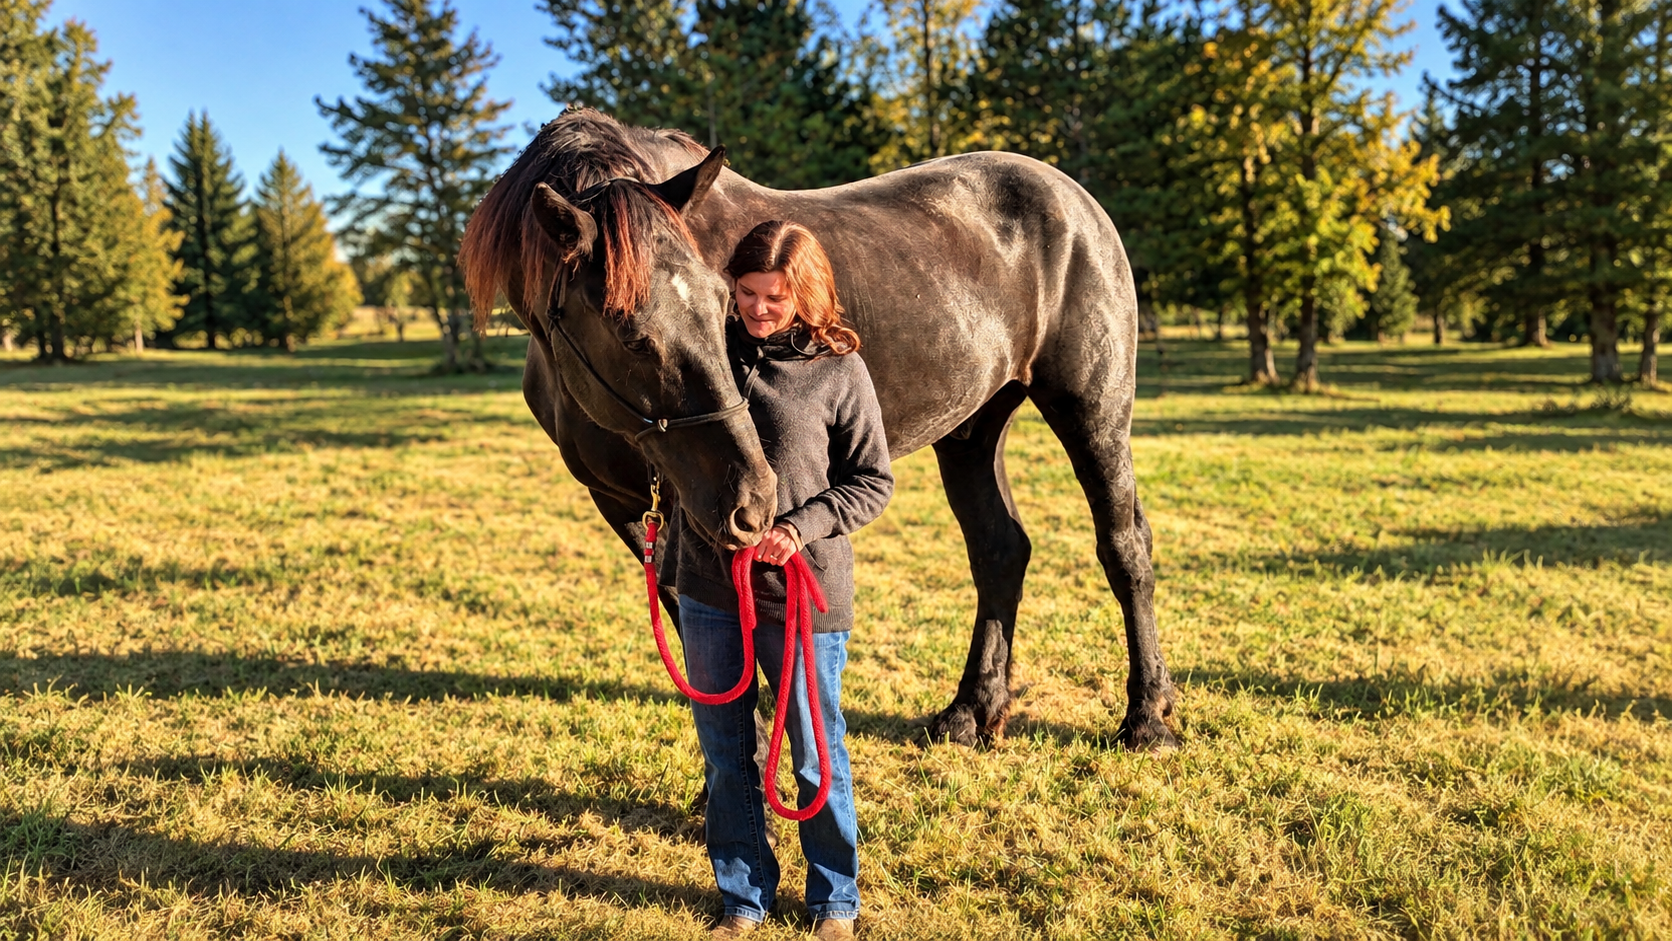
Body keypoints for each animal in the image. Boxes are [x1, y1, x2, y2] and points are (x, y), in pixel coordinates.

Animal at [460, 108, 1178, 749]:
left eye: (723, 303)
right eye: (628, 332)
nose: (753, 498)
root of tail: (1075, 200)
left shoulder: (711, 501)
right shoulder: (628, 503)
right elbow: (693, 623)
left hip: (1092, 410)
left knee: (1124, 547)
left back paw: (1147, 718)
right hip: (972, 428)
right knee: (1000, 550)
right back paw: (971, 712)